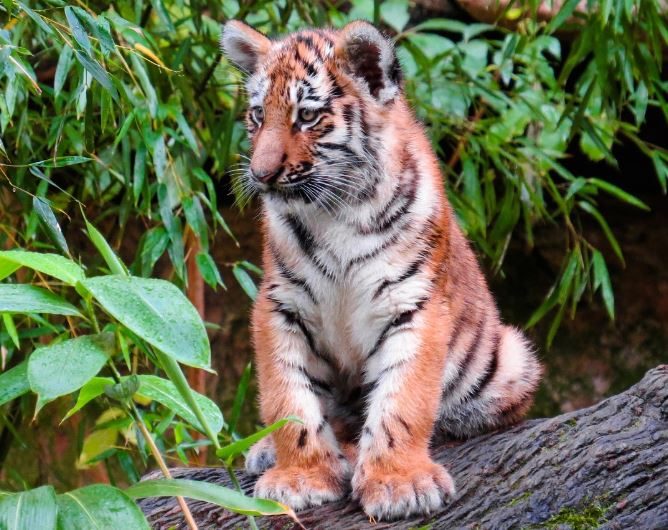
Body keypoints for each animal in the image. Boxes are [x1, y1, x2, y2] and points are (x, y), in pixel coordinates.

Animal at [221, 19, 542, 521]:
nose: (261, 174)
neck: (334, 210)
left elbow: (403, 400)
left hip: (511, 359)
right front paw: (301, 475)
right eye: (257, 115)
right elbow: (288, 398)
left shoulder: (415, 303)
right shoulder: (280, 305)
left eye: (307, 116)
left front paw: (398, 483)